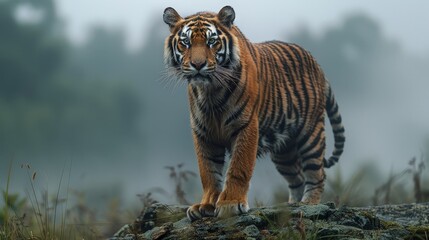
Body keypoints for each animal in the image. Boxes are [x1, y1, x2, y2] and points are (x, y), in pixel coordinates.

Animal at [161, 5, 344, 220]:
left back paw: (309, 204)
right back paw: (292, 205)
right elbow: (208, 172)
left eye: (211, 42)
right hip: (284, 151)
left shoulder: (246, 126)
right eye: (185, 43)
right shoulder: (203, 133)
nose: (198, 65)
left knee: (317, 175)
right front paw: (206, 205)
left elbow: (238, 167)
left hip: (311, 134)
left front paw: (231, 204)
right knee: (297, 178)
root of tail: (317, 64)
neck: (210, 92)